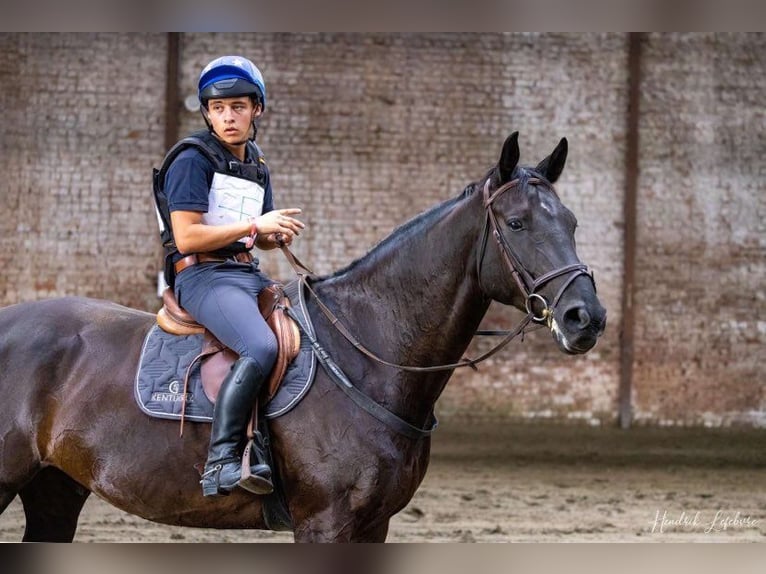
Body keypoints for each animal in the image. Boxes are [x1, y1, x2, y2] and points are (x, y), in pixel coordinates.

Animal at [0, 133, 608, 544]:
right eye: (517, 224)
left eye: (573, 222)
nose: (586, 317)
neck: (367, 355)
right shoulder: (326, 523)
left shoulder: (373, 525)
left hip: (55, 490)